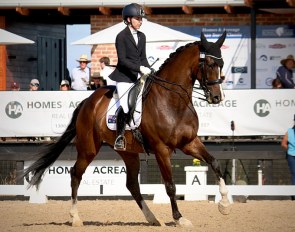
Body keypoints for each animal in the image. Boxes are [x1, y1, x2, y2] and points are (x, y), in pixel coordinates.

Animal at [24, 31, 231, 228]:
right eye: (209, 64)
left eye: (221, 64)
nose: (217, 97)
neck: (173, 102)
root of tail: (88, 101)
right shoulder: (161, 150)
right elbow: (170, 185)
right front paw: (180, 219)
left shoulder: (189, 143)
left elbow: (215, 163)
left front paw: (224, 205)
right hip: (88, 148)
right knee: (76, 173)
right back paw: (75, 217)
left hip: (128, 152)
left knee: (132, 184)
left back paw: (153, 218)